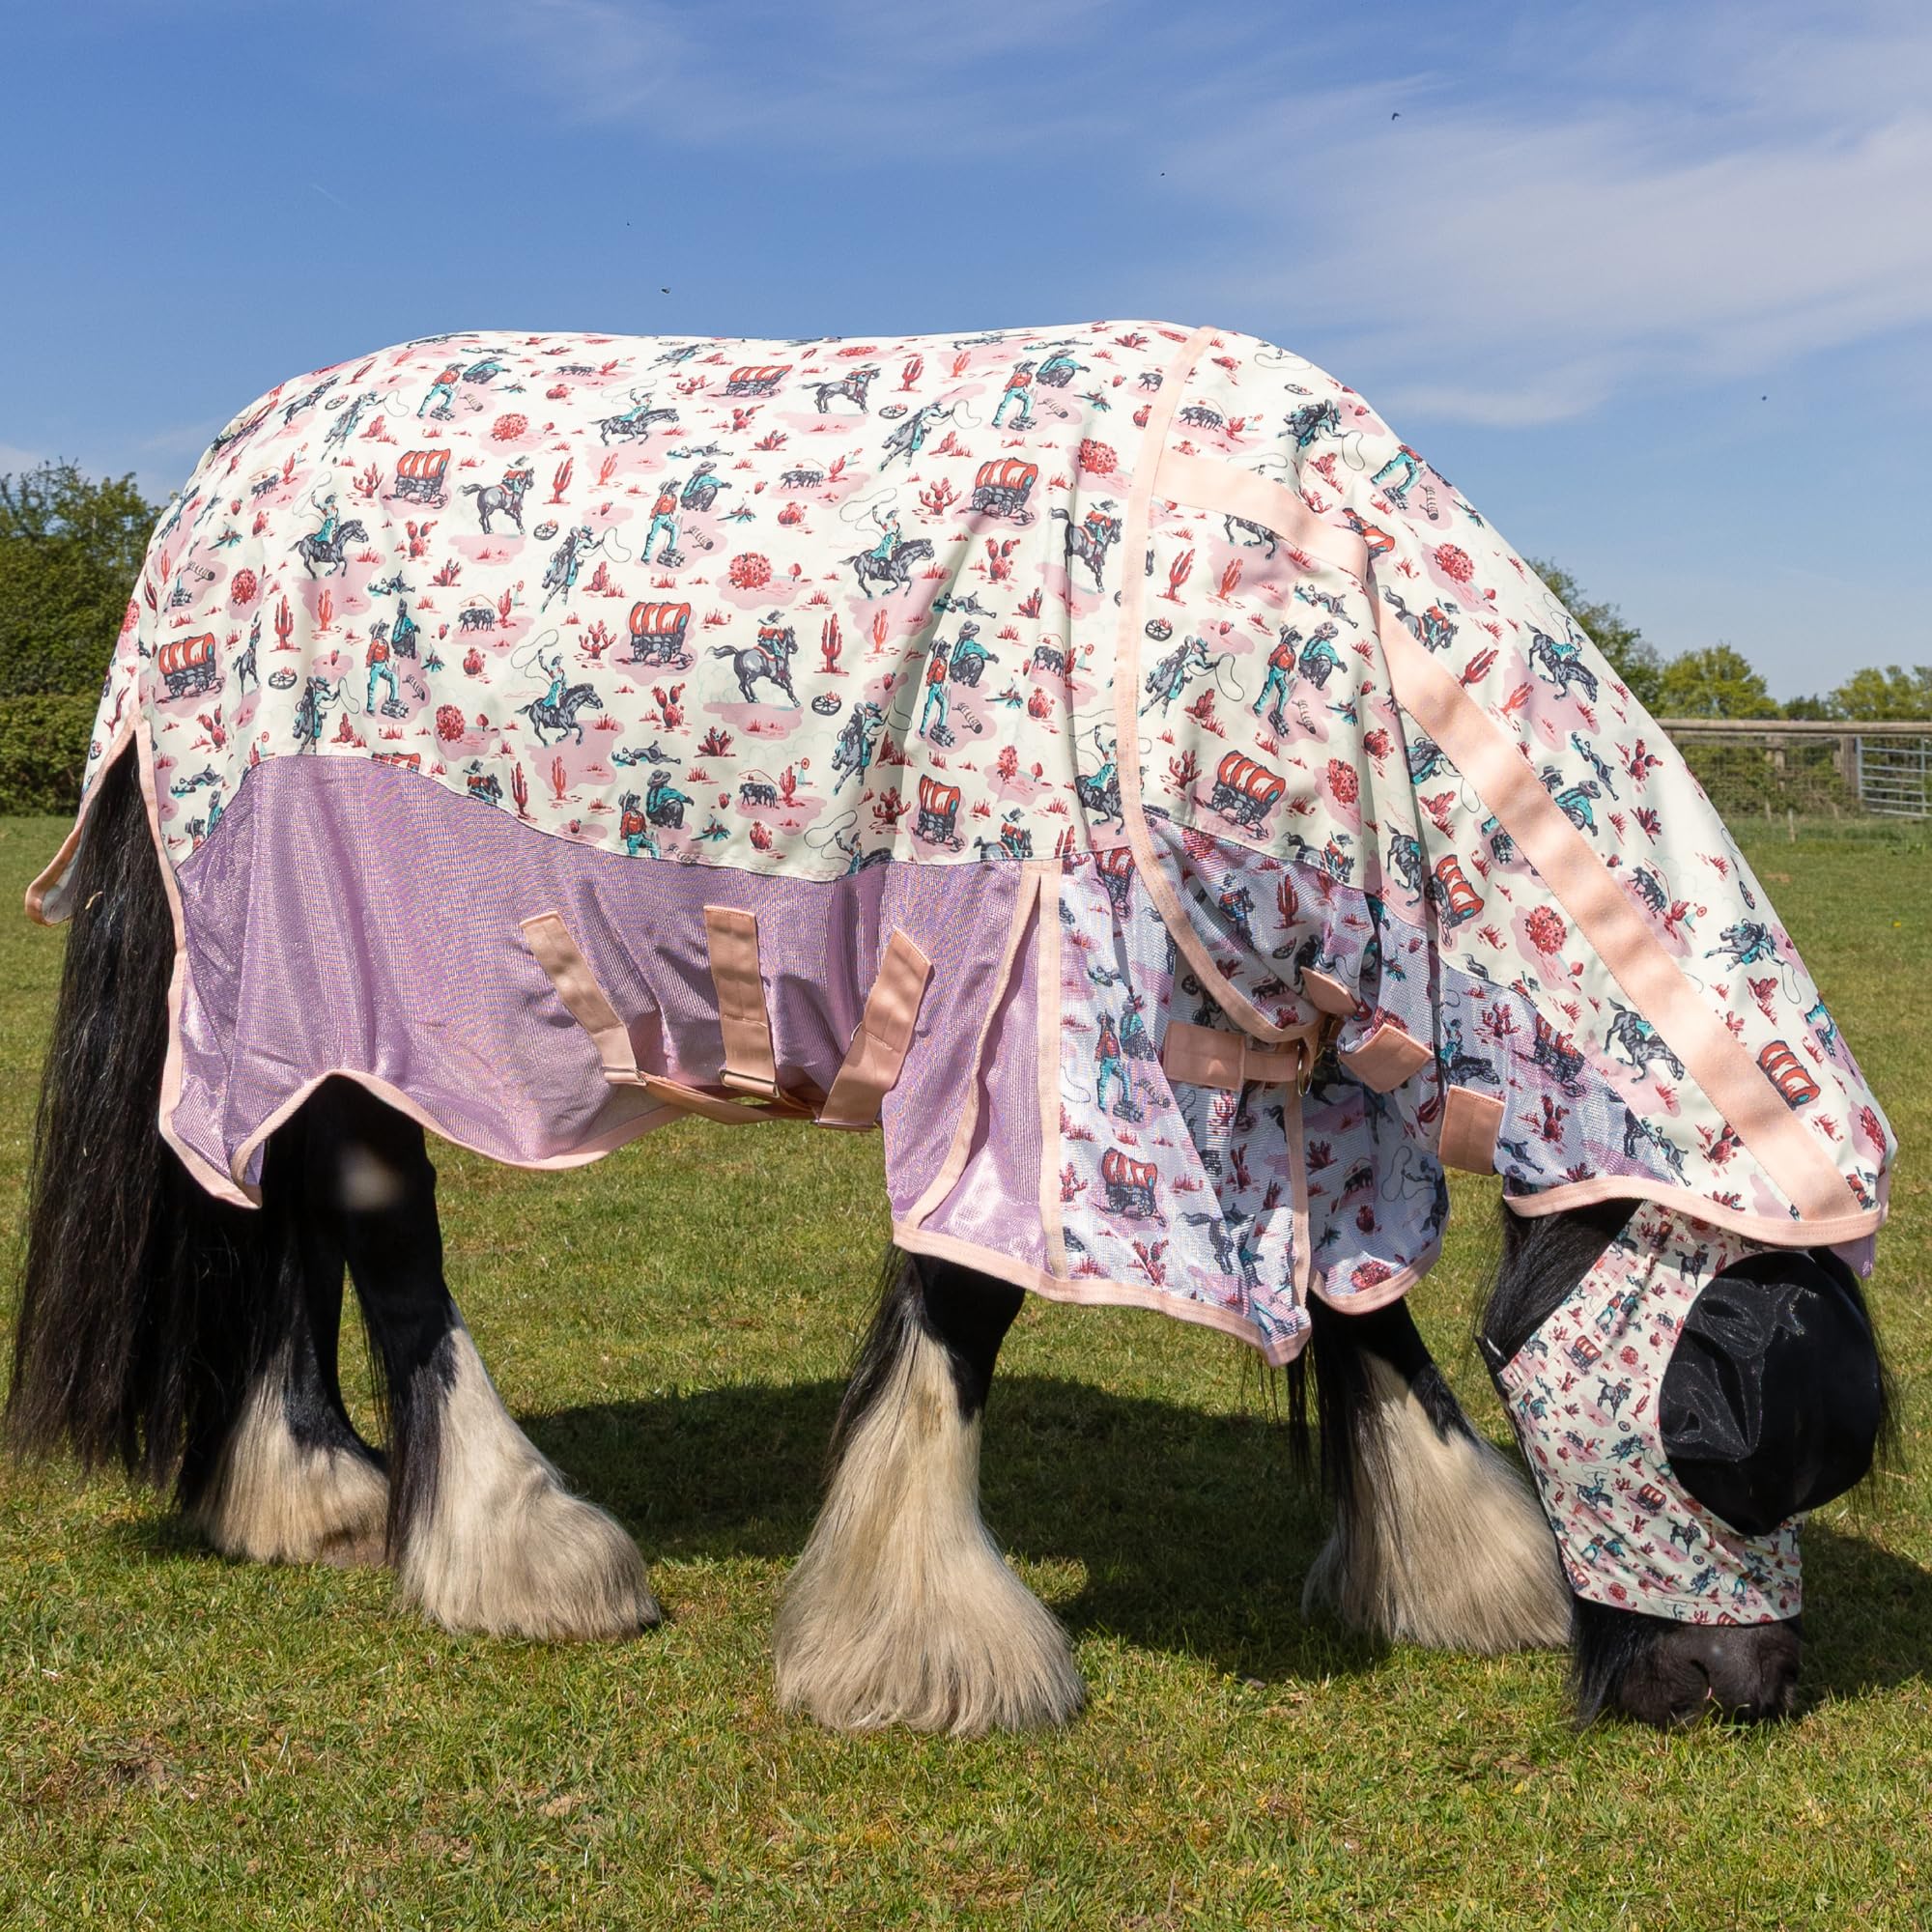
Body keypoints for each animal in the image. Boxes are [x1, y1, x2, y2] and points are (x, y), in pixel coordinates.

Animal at [8, 318, 1894, 1742]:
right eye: (1718, 1432)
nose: (1729, 1693)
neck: (1304, 612)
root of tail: (218, 479)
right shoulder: (1034, 1025)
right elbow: (966, 1299)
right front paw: (916, 1647)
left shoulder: (1277, 1060)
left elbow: (1367, 1317)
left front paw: (1458, 1567)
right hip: (326, 941)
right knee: (373, 1208)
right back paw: (519, 1551)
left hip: (274, 989)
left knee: (270, 1187)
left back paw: (308, 1493)